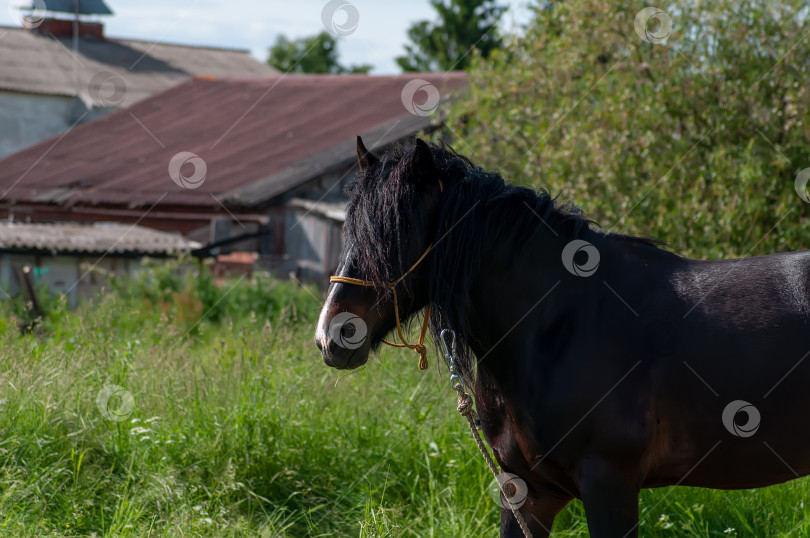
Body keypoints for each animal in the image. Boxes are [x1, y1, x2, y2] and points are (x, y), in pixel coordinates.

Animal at [314, 137, 808, 532]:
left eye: (396, 235)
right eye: (349, 229)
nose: (332, 336)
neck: (561, 325)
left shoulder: (610, 485)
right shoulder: (528, 493)